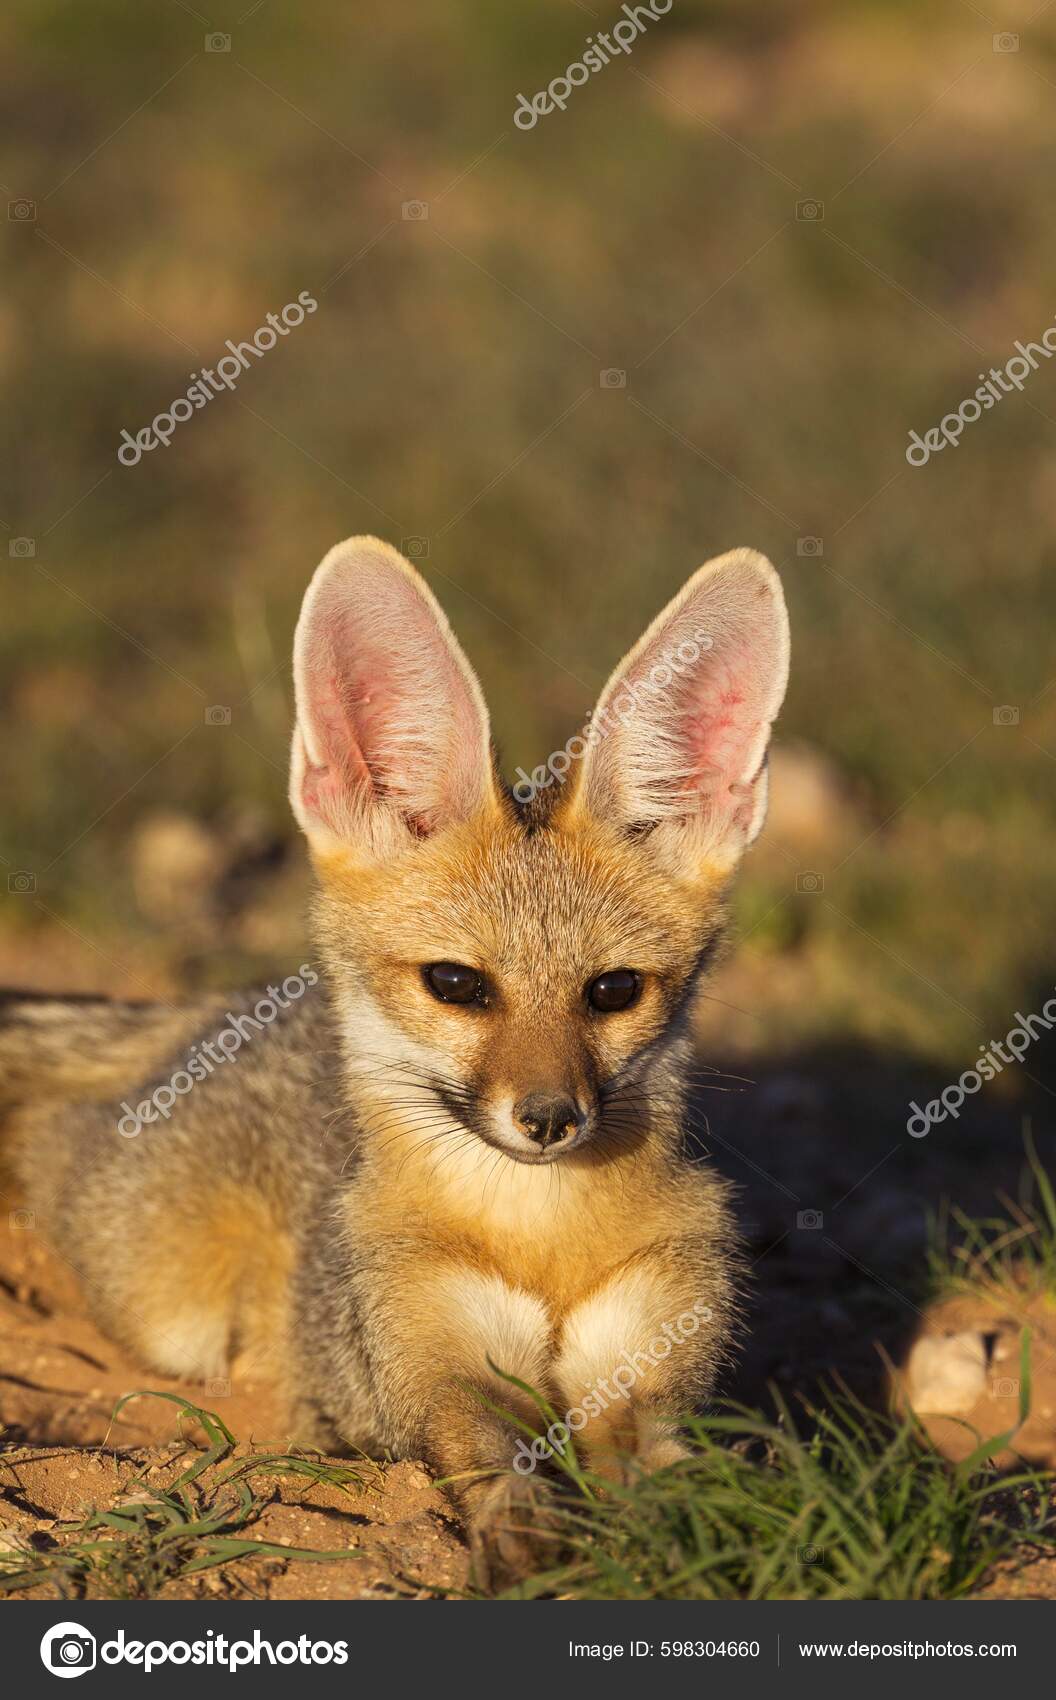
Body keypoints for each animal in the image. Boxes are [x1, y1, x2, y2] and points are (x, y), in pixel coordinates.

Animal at [0, 536, 789, 1585]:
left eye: (614, 991)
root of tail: (228, 1011)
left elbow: (664, 1470)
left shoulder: (647, 1354)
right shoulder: (436, 1363)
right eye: (456, 984)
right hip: (173, 1311)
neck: (540, 1238)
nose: (550, 1119)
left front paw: (682, 1542)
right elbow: (491, 1457)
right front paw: (524, 1537)